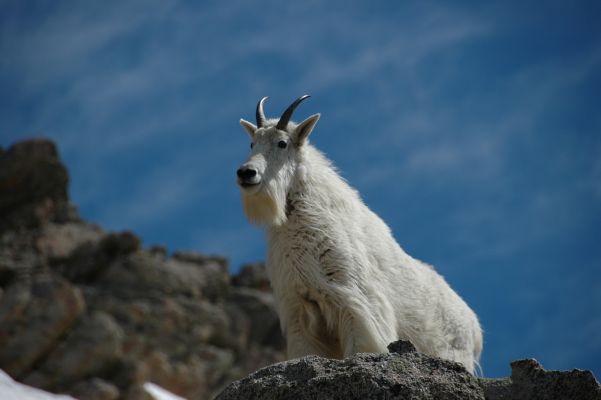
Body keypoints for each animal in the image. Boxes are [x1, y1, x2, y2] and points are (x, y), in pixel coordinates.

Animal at [236, 95, 482, 374]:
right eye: (252, 142)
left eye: (282, 142)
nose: (246, 173)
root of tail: (475, 328)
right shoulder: (300, 309)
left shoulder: (354, 301)